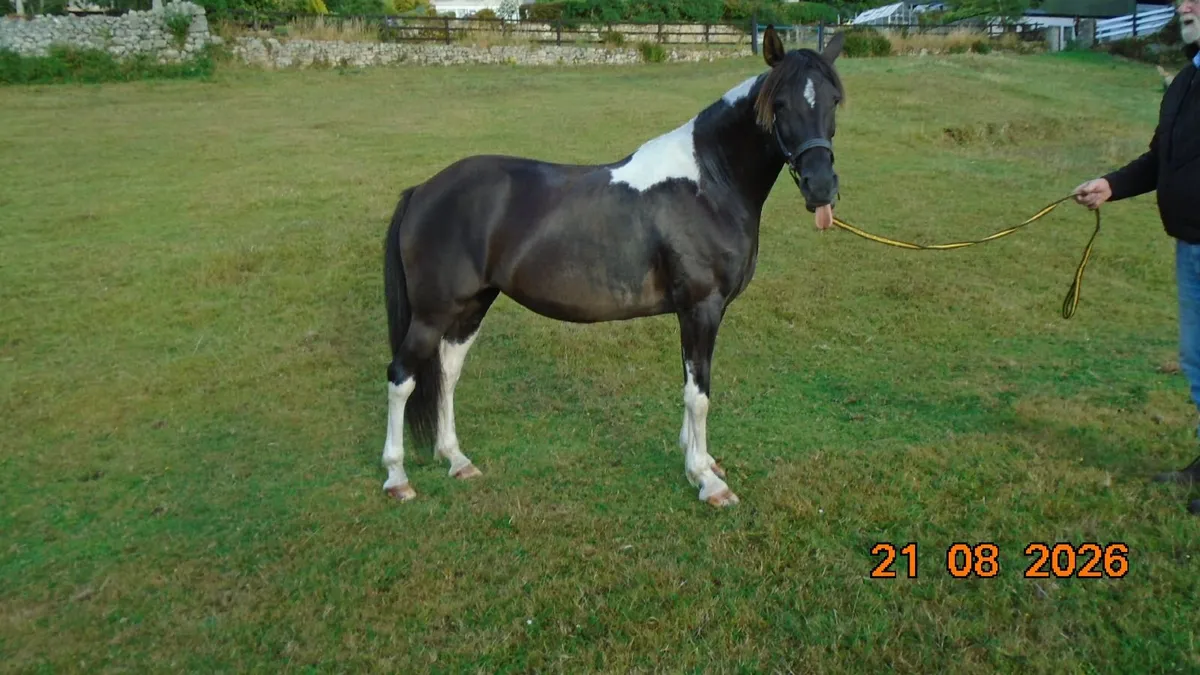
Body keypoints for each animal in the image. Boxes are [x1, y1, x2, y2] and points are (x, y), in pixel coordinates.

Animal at [379, 26, 846, 508]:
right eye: (780, 104)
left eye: (834, 100)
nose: (821, 187)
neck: (708, 184)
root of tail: (422, 190)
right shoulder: (702, 308)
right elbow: (699, 395)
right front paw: (706, 479)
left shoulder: (694, 314)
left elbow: (690, 385)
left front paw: (697, 459)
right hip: (433, 313)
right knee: (401, 378)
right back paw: (397, 476)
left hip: (471, 305)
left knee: (447, 372)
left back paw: (455, 459)